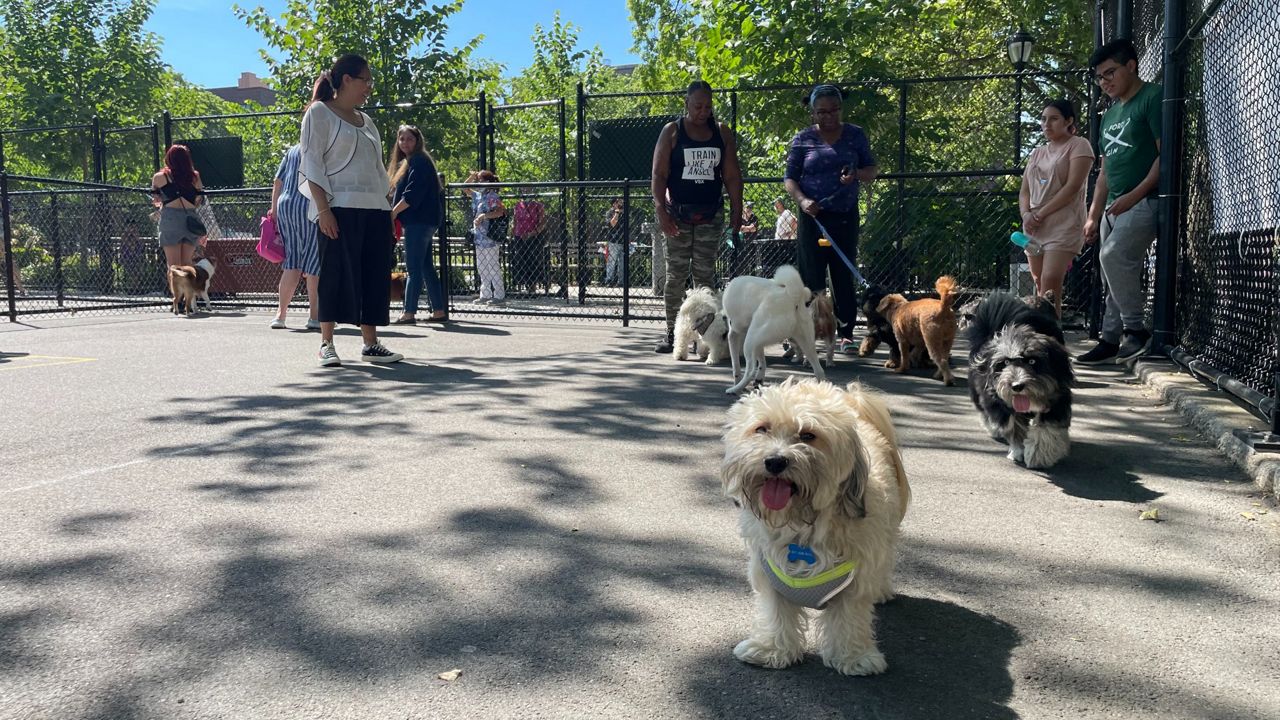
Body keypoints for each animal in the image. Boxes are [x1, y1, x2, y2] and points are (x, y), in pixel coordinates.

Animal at [721, 379, 911, 676]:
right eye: (762, 428)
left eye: (808, 435)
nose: (775, 461)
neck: (802, 522)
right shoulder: (770, 573)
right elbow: (776, 612)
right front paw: (771, 649)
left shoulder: (855, 580)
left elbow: (849, 618)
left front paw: (853, 657)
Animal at [727, 263, 824, 392]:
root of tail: (792, 297)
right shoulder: (758, 343)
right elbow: (762, 362)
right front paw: (759, 379)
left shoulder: (733, 335)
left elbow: (736, 365)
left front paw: (737, 381)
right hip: (806, 344)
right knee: (819, 370)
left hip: (750, 341)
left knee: (750, 371)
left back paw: (735, 389)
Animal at [962, 289, 1075, 466]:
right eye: (1005, 362)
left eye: (1032, 361)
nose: (1016, 386)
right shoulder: (1001, 403)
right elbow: (1014, 427)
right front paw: (1018, 450)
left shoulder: (1057, 401)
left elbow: (1047, 429)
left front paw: (1037, 454)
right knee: (985, 410)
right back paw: (993, 427)